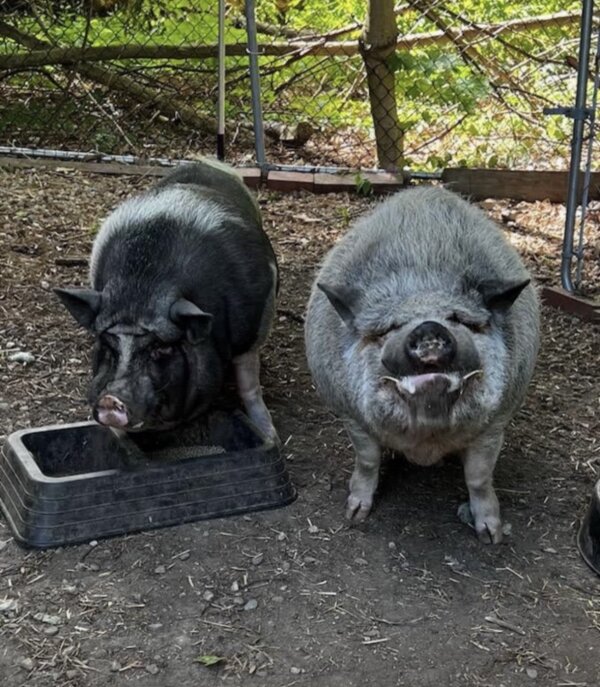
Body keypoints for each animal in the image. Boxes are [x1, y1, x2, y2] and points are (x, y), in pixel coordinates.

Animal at [55, 160, 278, 440]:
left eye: (161, 348)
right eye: (106, 344)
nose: (110, 400)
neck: (142, 290)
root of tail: (207, 163)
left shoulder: (251, 332)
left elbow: (249, 384)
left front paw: (271, 435)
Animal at [305, 186, 540, 543]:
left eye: (459, 319)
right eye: (390, 328)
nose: (429, 328)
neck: (426, 441)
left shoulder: (497, 420)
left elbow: (479, 476)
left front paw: (491, 536)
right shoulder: (349, 413)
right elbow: (367, 460)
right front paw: (354, 516)